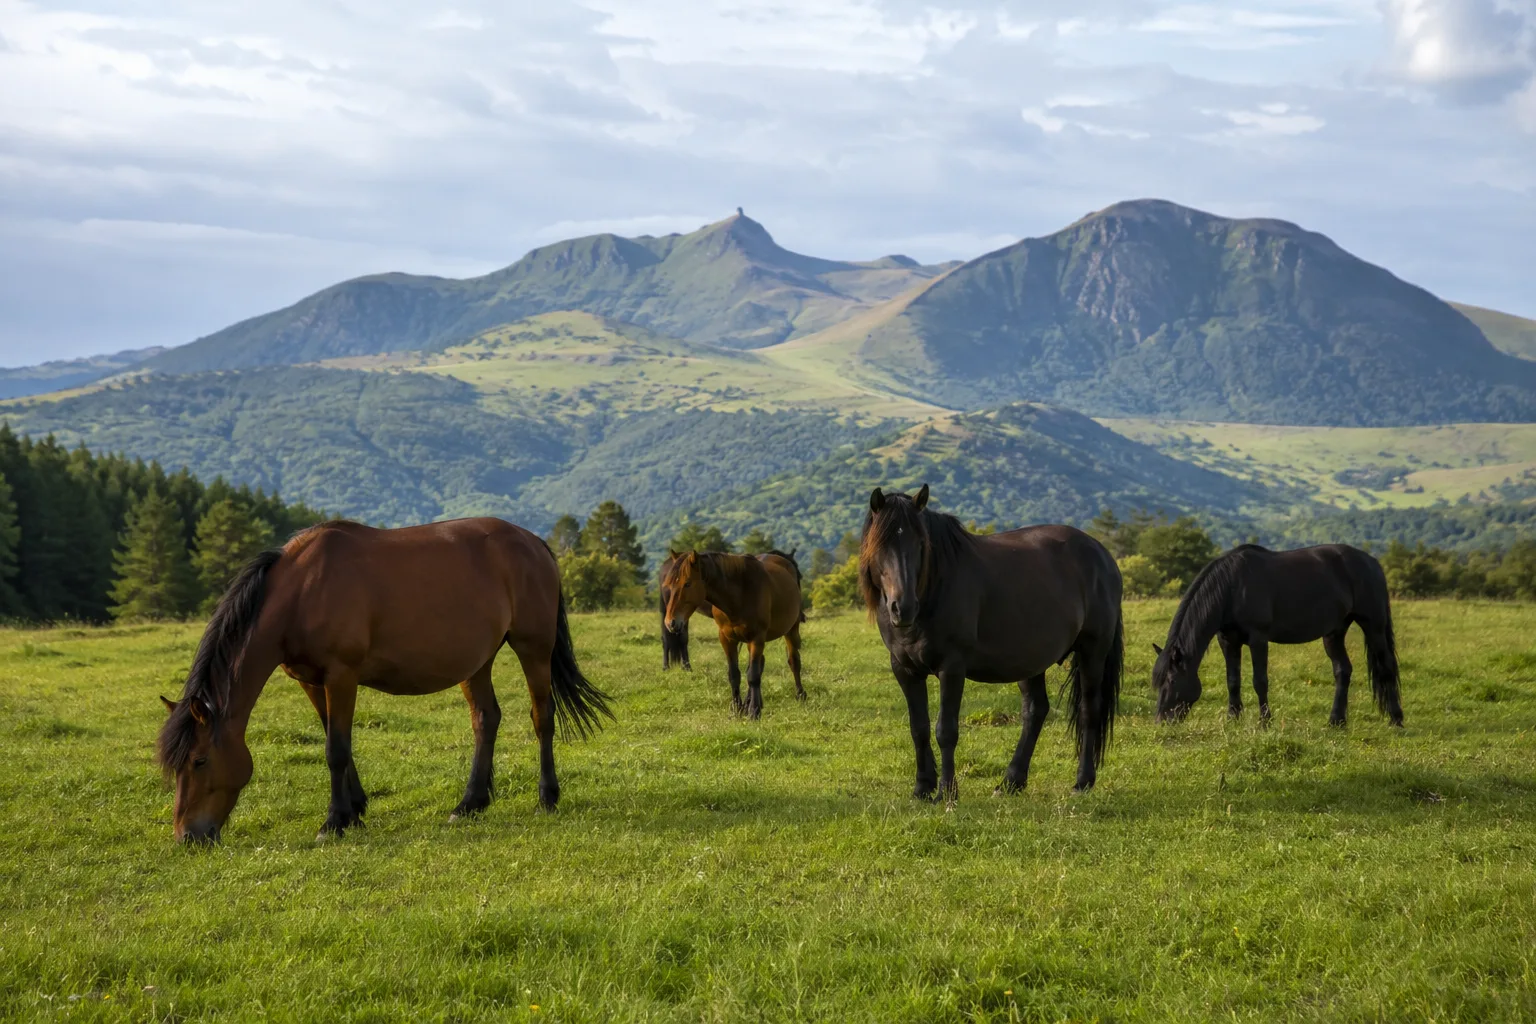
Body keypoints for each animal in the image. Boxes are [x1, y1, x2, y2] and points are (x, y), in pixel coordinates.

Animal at [156, 518, 612, 843]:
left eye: (199, 760)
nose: (187, 837)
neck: (302, 591)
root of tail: (534, 542)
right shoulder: (311, 681)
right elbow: (335, 738)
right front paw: (355, 810)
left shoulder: (341, 675)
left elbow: (336, 749)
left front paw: (333, 822)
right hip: (477, 662)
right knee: (486, 719)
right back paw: (469, 804)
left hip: (533, 648)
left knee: (542, 718)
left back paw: (546, 798)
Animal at [661, 549, 806, 718]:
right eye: (669, 585)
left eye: (687, 583)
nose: (670, 622)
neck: (740, 594)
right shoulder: (726, 638)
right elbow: (734, 674)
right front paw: (736, 709)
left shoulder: (757, 638)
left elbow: (753, 675)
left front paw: (753, 711)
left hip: (790, 629)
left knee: (793, 661)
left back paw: (800, 695)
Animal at [860, 485, 1123, 800]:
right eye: (880, 545)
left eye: (921, 543)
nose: (904, 608)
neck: (935, 589)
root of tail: (1103, 555)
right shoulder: (905, 669)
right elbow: (918, 728)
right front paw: (922, 788)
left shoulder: (952, 668)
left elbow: (945, 730)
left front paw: (947, 792)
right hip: (1030, 660)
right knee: (1035, 711)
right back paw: (1011, 782)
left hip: (1092, 652)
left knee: (1088, 710)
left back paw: (1082, 782)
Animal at [1151, 543, 1403, 727]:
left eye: (1171, 680)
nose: (1162, 721)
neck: (1232, 588)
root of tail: (1372, 562)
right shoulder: (1228, 641)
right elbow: (1232, 680)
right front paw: (1233, 719)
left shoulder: (1258, 639)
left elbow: (1260, 681)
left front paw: (1265, 722)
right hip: (1334, 632)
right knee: (1343, 671)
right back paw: (1336, 722)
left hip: (1373, 626)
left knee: (1387, 667)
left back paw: (1396, 720)